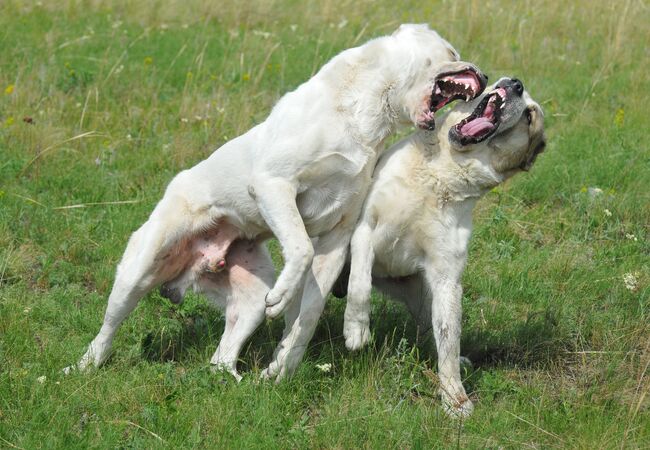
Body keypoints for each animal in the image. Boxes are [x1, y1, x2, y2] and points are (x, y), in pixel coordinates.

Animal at [64, 24, 486, 382]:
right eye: (452, 52)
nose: (482, 74)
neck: (367, 112)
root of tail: (189, 271)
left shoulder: (337, 236)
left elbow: (308, 315)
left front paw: (282, 369)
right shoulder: (273, 185)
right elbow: (299, 247)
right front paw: (282, 301)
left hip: (248, 300)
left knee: (222, 356)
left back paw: (233, 382)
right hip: (139, 269)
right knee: (106, 330)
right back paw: (79, 369)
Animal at [336, 78, 544, 418]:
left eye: (529, 116)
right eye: (521, 93)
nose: (514, 84)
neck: (442, 175)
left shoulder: (447, 278)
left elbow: (448, 338)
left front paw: (455, 399)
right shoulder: (365, 229)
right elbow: (360, 285)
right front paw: (356, 331)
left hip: (422, 295)